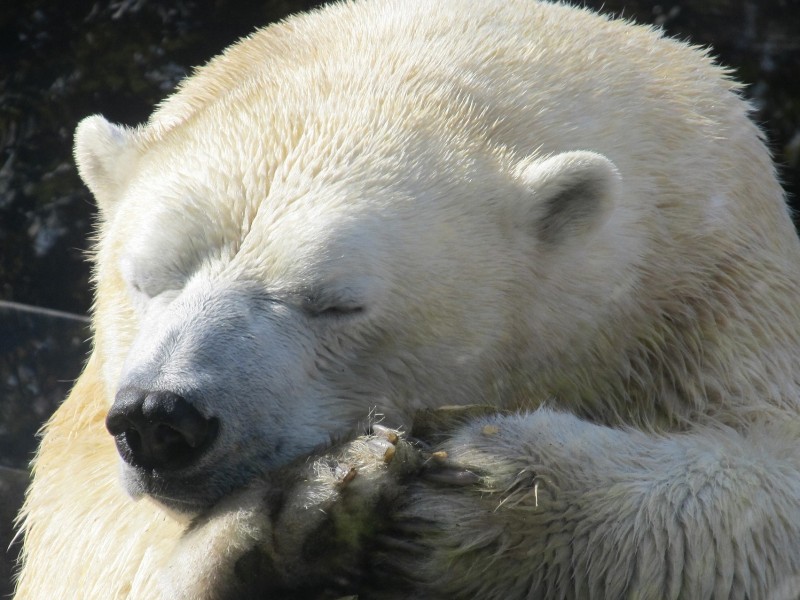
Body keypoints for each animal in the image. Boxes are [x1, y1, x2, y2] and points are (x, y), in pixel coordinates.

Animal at [15, 0, 800, 598]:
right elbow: (81, 542)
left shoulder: (713, 291)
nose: (161, 419)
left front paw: (485, 496)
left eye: (336, 303)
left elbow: (762, 485)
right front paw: (286, 514)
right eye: (148, 279)